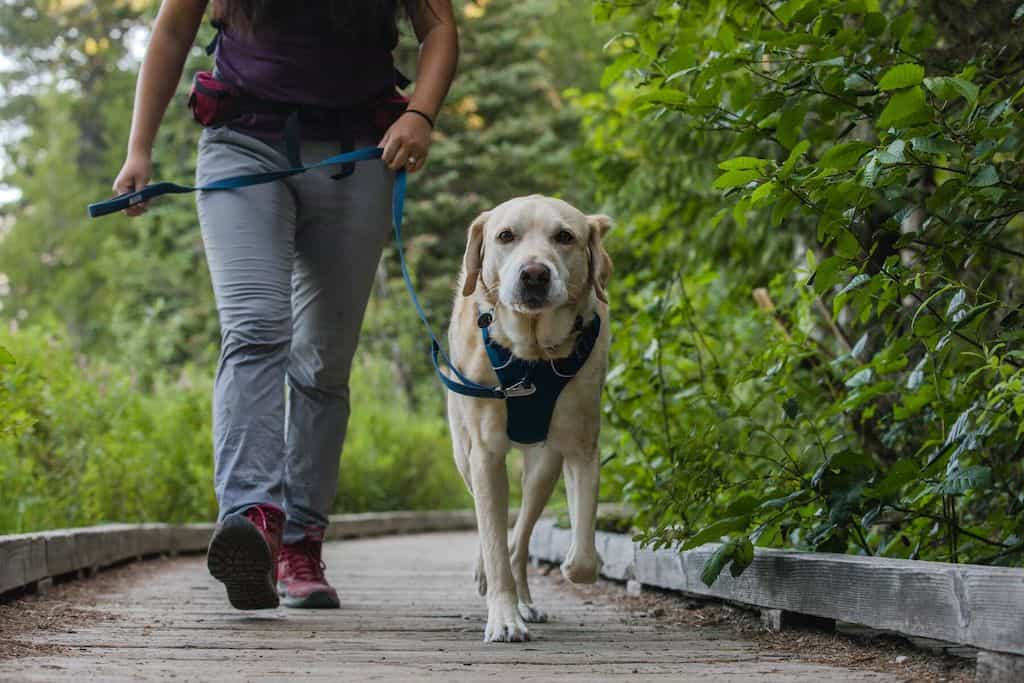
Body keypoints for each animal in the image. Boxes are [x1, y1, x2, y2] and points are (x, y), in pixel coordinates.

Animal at [446, 194, 606, 643]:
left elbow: (582, 551)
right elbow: (493, 538)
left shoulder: (582, 446)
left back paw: (525, 599)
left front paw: (571, 565)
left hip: (543, 467)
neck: (532, 357)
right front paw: (503, 617)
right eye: (506, 236)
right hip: (463, 454)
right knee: (495, 531)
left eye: (565, 237)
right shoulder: (484, 455)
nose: (534, 273)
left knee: (519, 536)